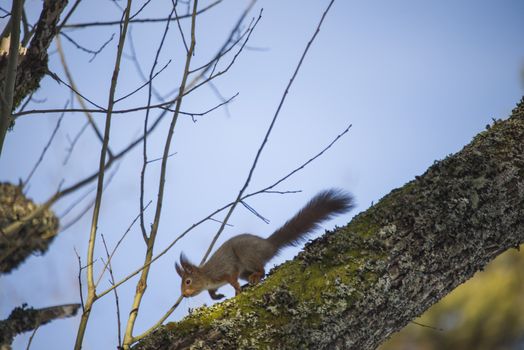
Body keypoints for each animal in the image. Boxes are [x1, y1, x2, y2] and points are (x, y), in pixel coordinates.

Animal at [175, 190, 352, 300]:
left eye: (188, 281)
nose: (184, 295)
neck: (206, 276)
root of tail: (269, 245)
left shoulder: (224, 271)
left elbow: (232, 278)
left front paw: (237, 290)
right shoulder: (213, 284)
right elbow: (212, 293)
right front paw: (217, 297)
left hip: (247, 255)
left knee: (262, 270)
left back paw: (255, 277)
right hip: (245, 270)